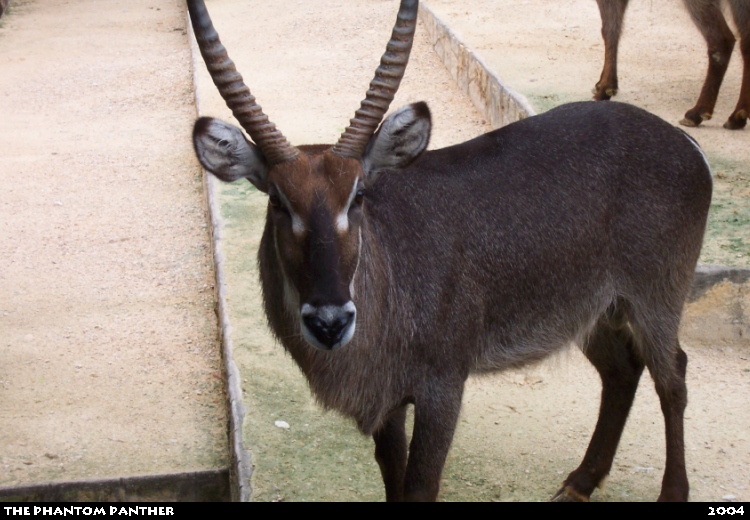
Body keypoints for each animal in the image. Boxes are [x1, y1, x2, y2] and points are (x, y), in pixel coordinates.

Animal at [187, 0, 712, 502]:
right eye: (278, 200)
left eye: (358, 195)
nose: (330, 322)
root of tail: (686, 145)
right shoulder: (388, 399)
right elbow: (393, 479)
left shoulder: (443, 385)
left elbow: (421, 485)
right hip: (592, 309)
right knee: (622, 370)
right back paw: (580, 482)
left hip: (657, 295)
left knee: (674, 378)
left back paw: (671, 491)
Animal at [596, 0, 748, 129]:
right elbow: (611, 29)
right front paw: (601, 85)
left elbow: (608, 29)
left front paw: (604, 90)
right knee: (745, 40)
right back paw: (738, 116)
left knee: (722, 41)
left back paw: (697, 113)